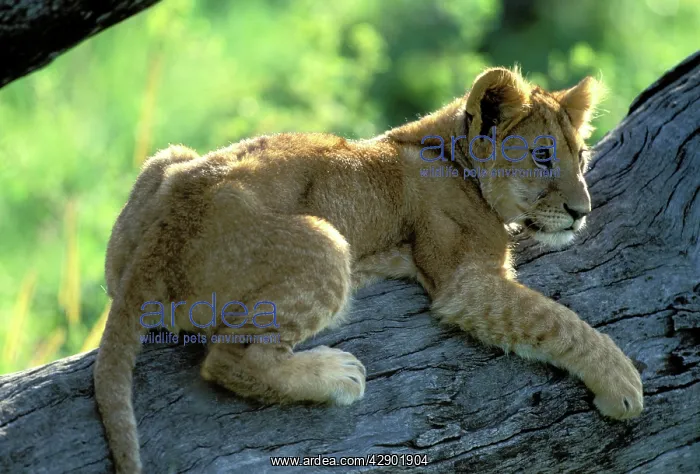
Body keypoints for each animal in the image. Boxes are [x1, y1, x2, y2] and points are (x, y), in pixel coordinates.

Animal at [94, 67, 643, 473]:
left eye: (582, 157)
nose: (582, 211)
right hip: (325, 242)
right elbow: (555, 320)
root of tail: (160, 239)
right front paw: (621, 381)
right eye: (543, 156)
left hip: (169, 160)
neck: (449, 153)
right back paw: (337, 375)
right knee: (229, 360)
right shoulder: (462, 280)